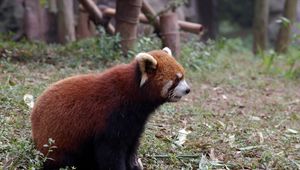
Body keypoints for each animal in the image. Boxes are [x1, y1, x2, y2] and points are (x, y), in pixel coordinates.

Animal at [31, 47, 190, 169]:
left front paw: (134, 165)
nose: (188, 90)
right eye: (176, 80)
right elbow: (111, 150)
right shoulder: (111, 114)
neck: (134, 94)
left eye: (183, 76)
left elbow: (132, 144)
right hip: (59, 143)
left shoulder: (136, 122)